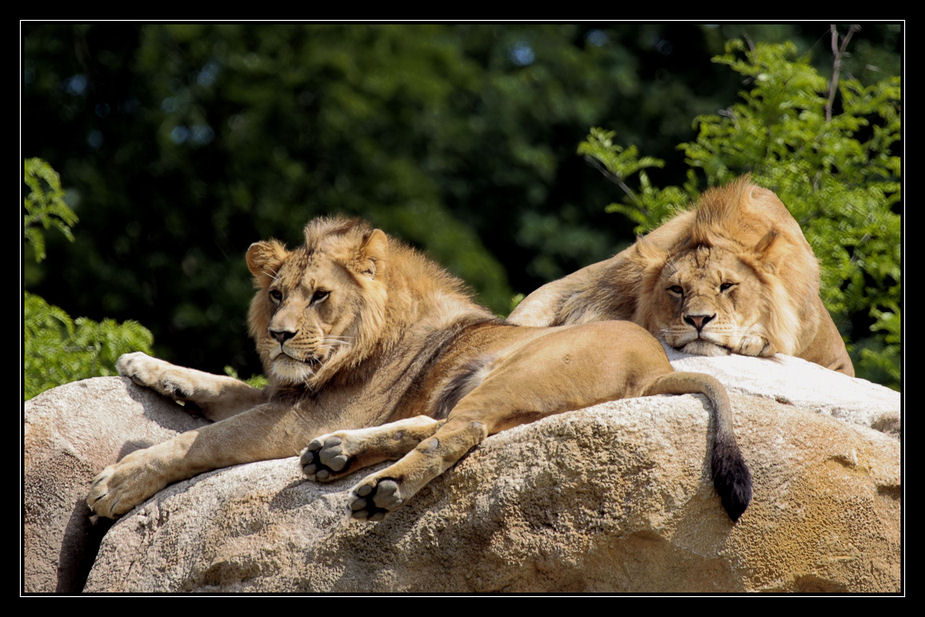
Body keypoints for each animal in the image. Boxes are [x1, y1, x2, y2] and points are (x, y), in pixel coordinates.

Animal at [86, 214, 752, 524]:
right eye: (275, 295)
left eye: (320, 296)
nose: (279, 336)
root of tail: (655, 367)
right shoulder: (291, 396)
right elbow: (222, 385)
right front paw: (140, 362)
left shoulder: (297, 417)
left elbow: (202, 441)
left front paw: (116, 485)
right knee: (439, 424)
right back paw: (335, 455)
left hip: (520, 372)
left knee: (459, 432)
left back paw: (380, 486)